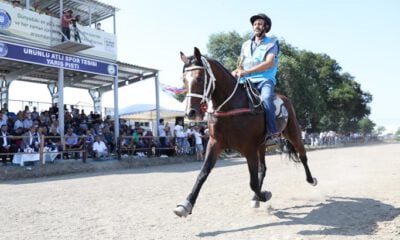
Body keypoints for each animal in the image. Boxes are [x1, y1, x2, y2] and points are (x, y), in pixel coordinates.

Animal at [173, 47, 318, 218]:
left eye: (201, 78)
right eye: (184, 80)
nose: (191, 112)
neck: (231, 107)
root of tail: (284, 98)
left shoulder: (249, 148)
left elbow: (253, 182)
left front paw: (264, 195)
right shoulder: (215, 143)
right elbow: (203, 173)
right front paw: (186, 204)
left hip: (293, 134)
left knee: (302, 156)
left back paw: (311, 179)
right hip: (262, 146)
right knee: (263, 169)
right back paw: (256, 198)